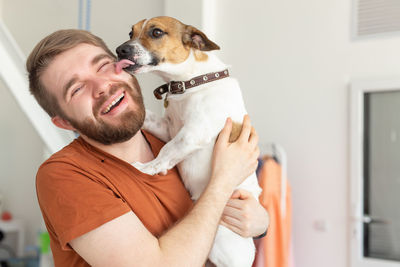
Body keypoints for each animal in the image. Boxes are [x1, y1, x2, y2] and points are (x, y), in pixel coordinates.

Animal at [115, 16, 262, 267]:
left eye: (156, 32)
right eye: (130, 32)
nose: (119, 50)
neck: (192, 82)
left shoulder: (194, 132)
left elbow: (166, 151)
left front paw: (147, 168)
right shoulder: (168, 128)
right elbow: (150, 121)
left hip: (219, 245)